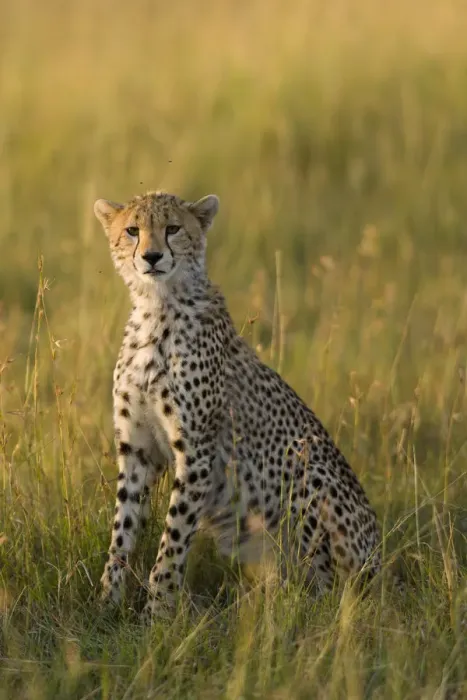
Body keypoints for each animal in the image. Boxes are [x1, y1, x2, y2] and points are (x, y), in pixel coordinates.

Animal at [93, 189, 382, 621]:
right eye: (132, 230)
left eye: (172, 228)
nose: (152, 256)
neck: (157, 308)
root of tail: (380, 557)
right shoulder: (137, 449)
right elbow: (122, 529)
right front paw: (107, 602)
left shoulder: (197, 450)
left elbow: (173, 537)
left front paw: (157, 613)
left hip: (308, 471)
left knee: (329, 586)